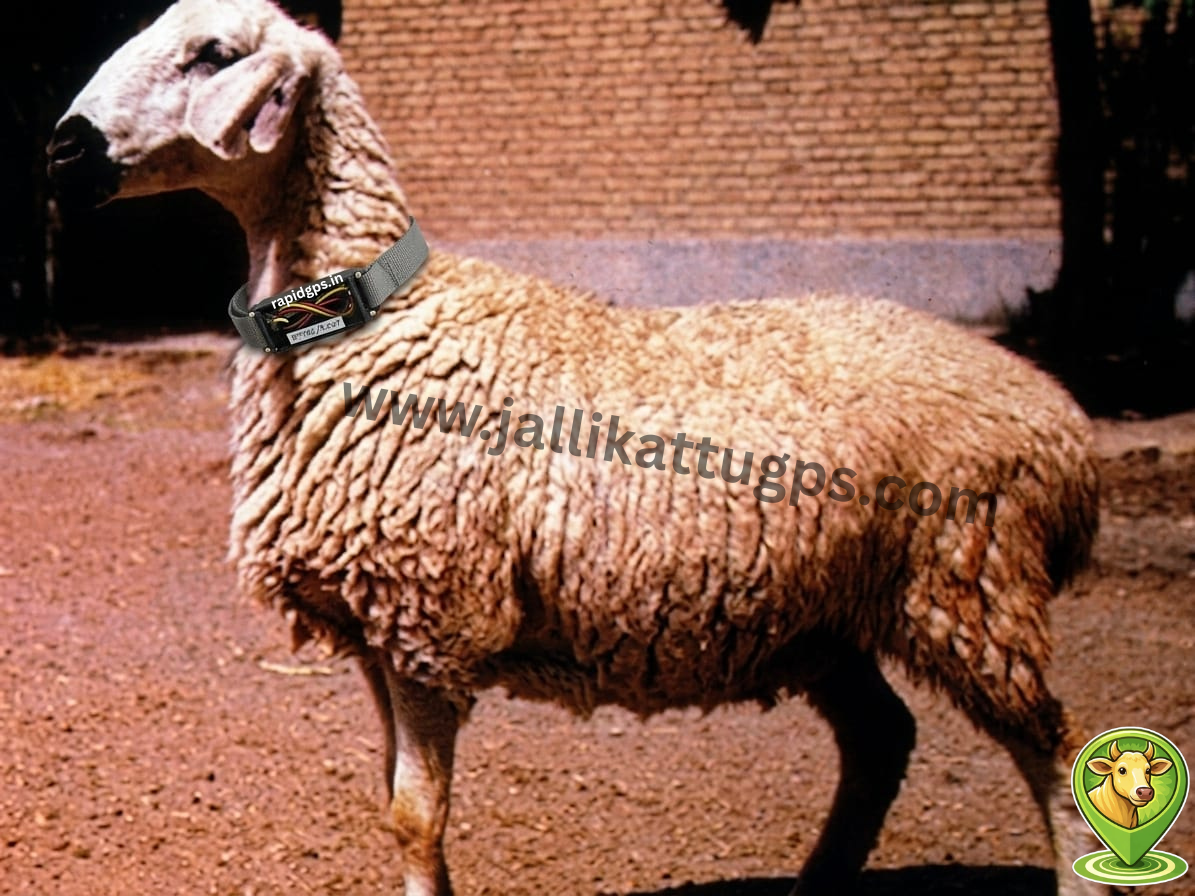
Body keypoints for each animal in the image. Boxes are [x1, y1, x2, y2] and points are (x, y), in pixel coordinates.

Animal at [47, 1, 1103, 894]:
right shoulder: (374, 625)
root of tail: (1063, 425)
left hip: (968, 585)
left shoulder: (427, 617)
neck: (370, 319)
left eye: (213, 53)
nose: (62, 147)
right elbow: (394, 808)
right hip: (827, 617)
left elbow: (415, 816)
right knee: (882, 739)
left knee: (1051, 746)